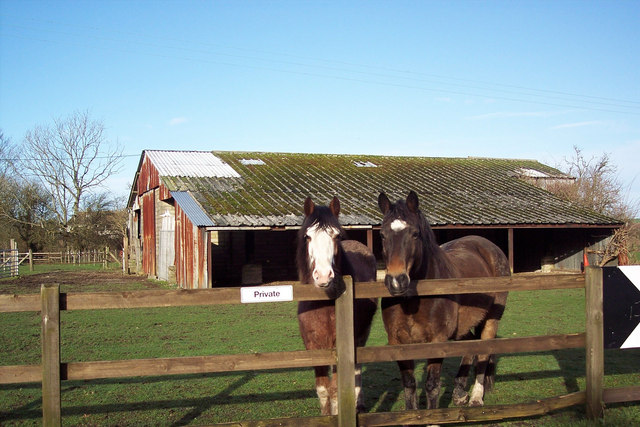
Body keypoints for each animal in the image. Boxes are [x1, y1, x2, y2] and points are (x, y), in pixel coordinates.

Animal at [298, 196, 378, 414]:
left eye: (336, 236)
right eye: (308, 237)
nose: (324, 276)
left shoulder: (338, 346)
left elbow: (335, 391)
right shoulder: (313, 346)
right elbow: (323, 389)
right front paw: (325, 415)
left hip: (361, 333)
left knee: (356, 369)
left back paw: (359, 403)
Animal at [378, 191, 508, 412]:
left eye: (415, 234)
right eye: (382, 235)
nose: (396, 281)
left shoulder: (437, 340)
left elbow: (432, 385)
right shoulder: (397, 342)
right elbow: (409, 385)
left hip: (492, 318)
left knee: (483, 352)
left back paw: (476, 397)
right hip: (461, 327)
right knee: (469, 346)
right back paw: (459, 393)